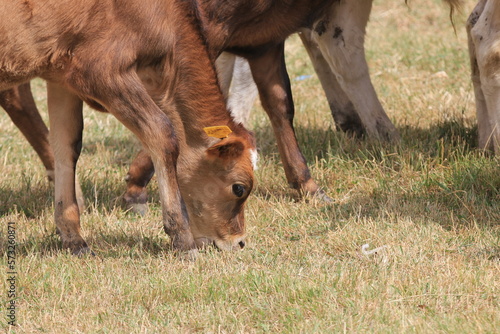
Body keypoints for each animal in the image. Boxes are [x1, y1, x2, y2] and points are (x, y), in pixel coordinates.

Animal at [0, 0, 256, 254]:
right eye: (239, 188)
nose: (240, 241)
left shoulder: (60, 76)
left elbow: (66, 146)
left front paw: (74, 238)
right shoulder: (100, 70)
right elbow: (162, 132)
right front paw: (182, 239)